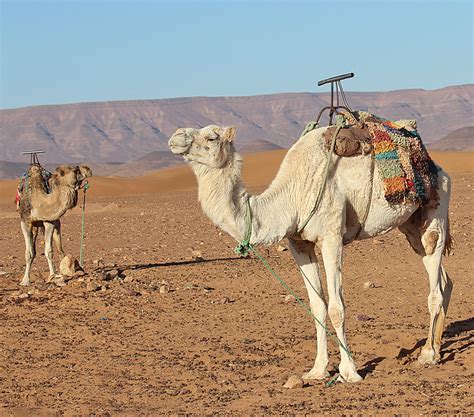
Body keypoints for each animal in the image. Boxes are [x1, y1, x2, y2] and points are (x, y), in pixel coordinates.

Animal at [169, 122, 452, 380]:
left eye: (212, 136)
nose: (175, 136)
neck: (292, 195)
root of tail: (439, 169)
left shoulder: (331, 236)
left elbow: (337, 308)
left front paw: (349, 372)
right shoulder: (298, 243)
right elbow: (317, 306)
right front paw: (317, 370)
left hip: (434, 213)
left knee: (435, 286)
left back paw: (427, 354)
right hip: (410, 226)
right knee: (444, 280)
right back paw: (437, 349)